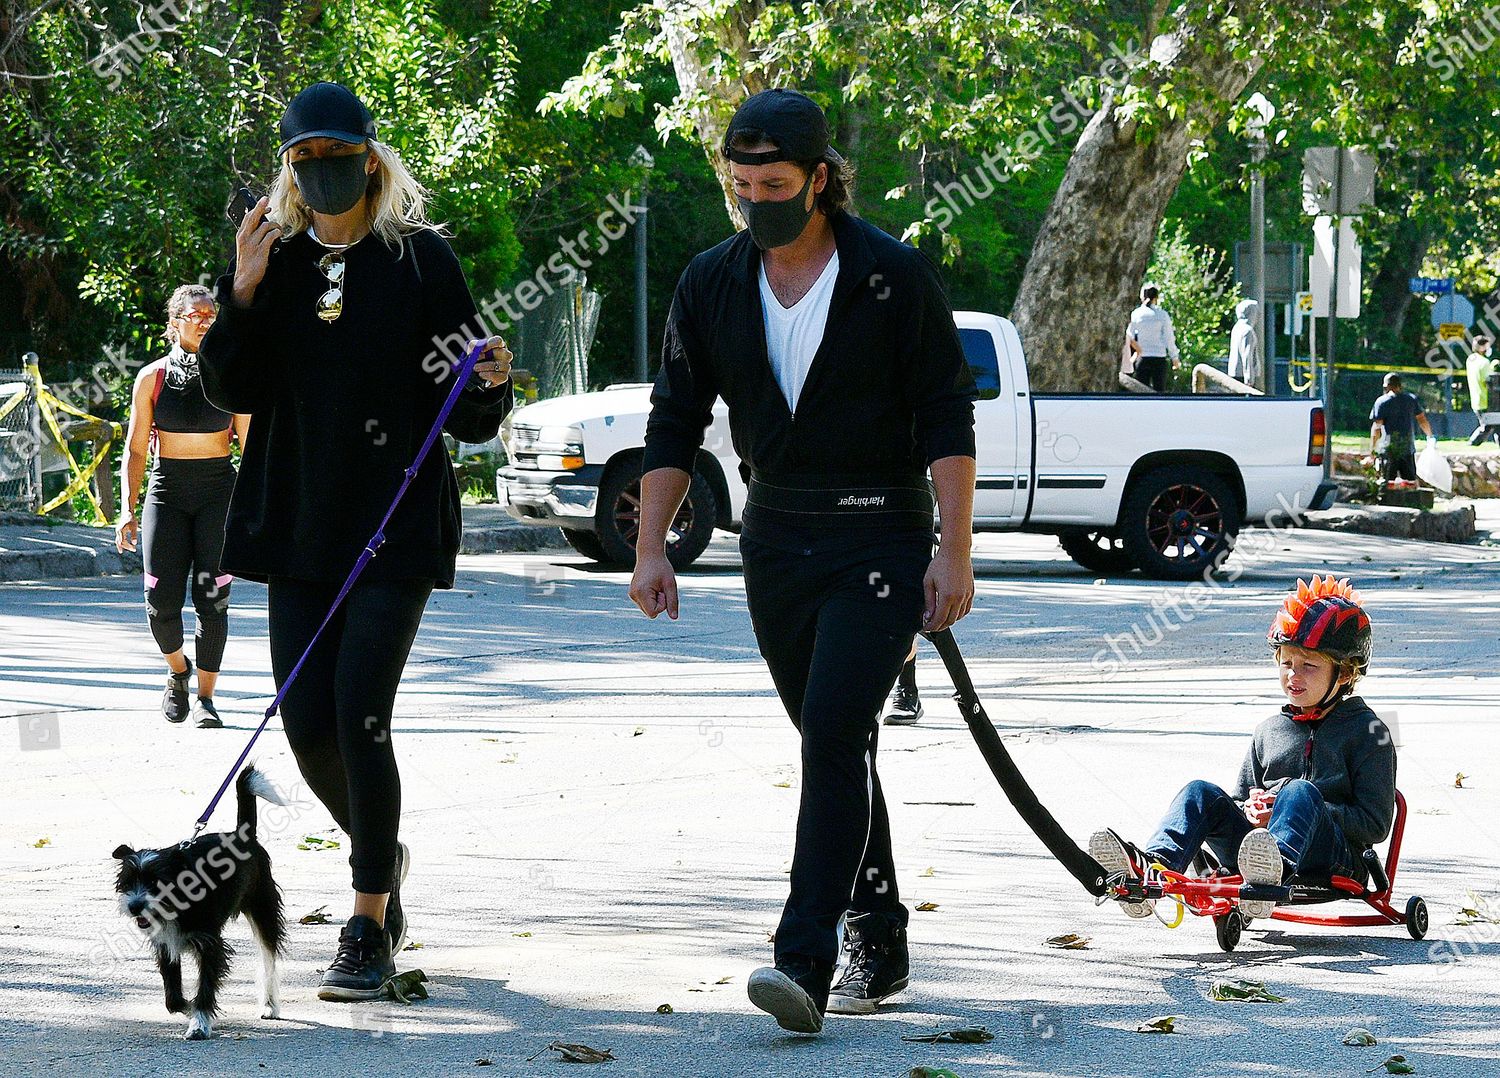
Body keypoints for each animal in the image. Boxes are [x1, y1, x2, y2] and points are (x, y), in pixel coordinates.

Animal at [113, 767, 283, 1037]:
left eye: (157, 882)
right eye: (127, 882)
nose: (134, 906)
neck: (177, 904)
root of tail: (242, 835)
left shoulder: (209, 944)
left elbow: (205, 985)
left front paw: (200, 1022)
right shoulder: (166, 944)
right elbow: (173, 999)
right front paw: (189, 1009)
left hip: (263, 910)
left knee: (268, 961)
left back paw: (269, 1005)